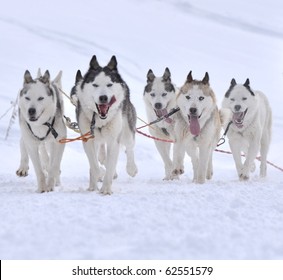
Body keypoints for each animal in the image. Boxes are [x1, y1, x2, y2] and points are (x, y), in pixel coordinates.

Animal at [72, 54, 138, 195]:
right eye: (95, 85)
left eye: (109, 84)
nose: (103, 97)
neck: (100, 119)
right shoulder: (88, 140)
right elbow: (94, 165)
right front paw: (98, 177)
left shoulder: (113, 140)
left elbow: (110, 166)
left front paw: (106, 189)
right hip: (97, 140)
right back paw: (93, 185)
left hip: (127, 131)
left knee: (129, 148)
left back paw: (131, 168)